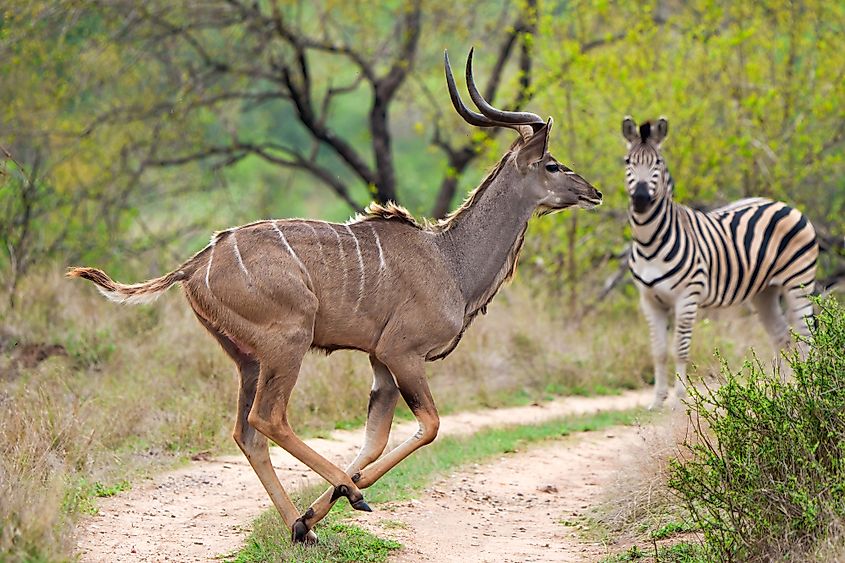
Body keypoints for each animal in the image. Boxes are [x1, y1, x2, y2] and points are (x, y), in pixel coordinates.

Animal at [621, 116, 818, 409]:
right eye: (628, 161)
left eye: (658, 163)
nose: (642, 200)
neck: (649, 242)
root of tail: (784, 204)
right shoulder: (649, 300)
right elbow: (658, 351)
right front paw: (657, 401)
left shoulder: (687, 297)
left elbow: (680, 349)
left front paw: (679, 400)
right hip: (764, 292)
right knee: (782, 336)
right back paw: (782, 393)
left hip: (799, 281)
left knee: (806, 338)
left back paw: (811, 392)